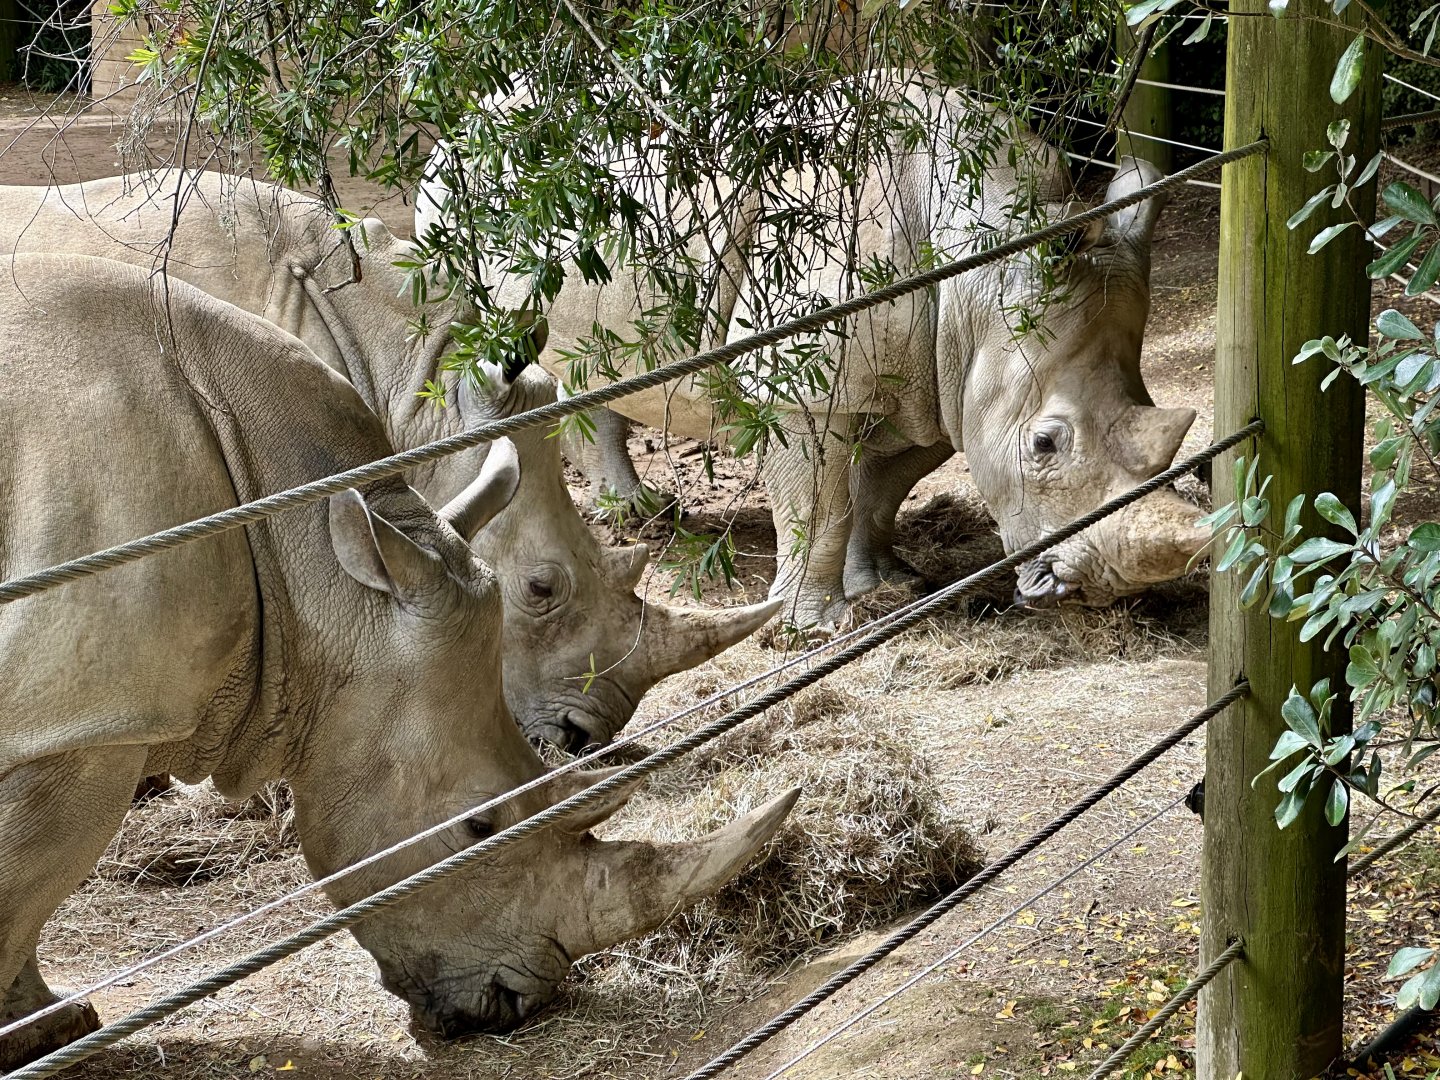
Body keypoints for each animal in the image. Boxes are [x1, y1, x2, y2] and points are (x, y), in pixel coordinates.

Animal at [0, 252, 795, 1069]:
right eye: (478, 824)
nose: (519, 1002)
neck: (308, 566)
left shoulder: (78, 716)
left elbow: (27, 890)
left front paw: (52, 1028)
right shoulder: (85, 724)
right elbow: (30, 879)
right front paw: (35, 1039)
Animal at [417, 79, 1205, 628]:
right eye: (1045, 444)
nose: (1097, 592)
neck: (980, 266)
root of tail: (464, 120)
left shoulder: (940, 383)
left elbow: (879, 488)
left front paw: (890, 583)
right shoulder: (802, 387)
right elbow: (819, 505)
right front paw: (813, 627)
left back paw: (640, 513)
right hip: (451, 216)